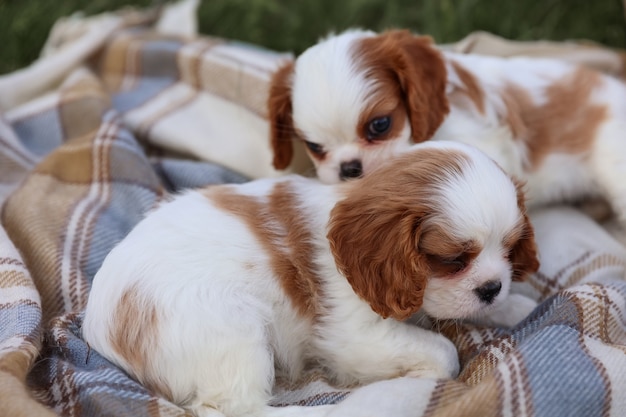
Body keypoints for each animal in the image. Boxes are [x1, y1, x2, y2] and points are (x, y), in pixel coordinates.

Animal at [81, 142, 536, 416]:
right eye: (453, 260)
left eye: (510, 248)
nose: (491, 287)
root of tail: (99, 329)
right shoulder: (351, 334)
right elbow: (444, 351)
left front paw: (516, 305)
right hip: (234, 329)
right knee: (236, 408)